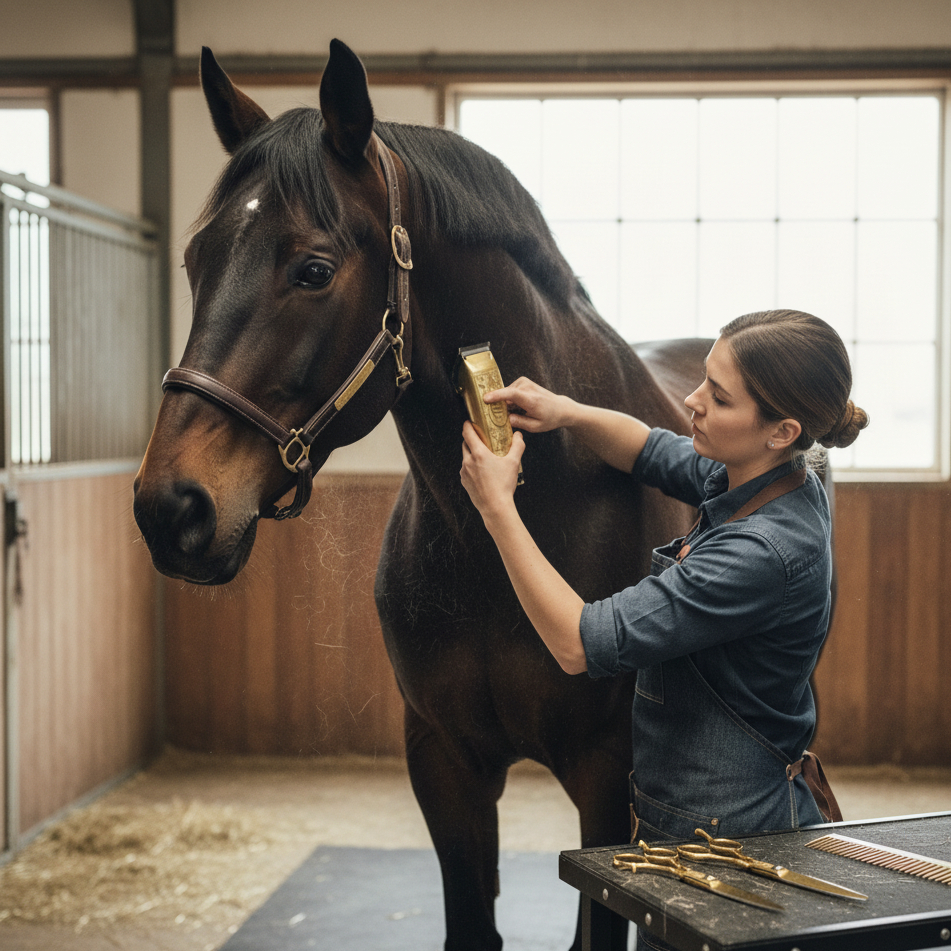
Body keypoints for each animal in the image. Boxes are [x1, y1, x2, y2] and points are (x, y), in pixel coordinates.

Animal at [133, 39, 710, 951]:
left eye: (313, 269)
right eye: (195, 263)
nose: (171, 507)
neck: (515, 531)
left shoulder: (605, 770)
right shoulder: (442, 758)